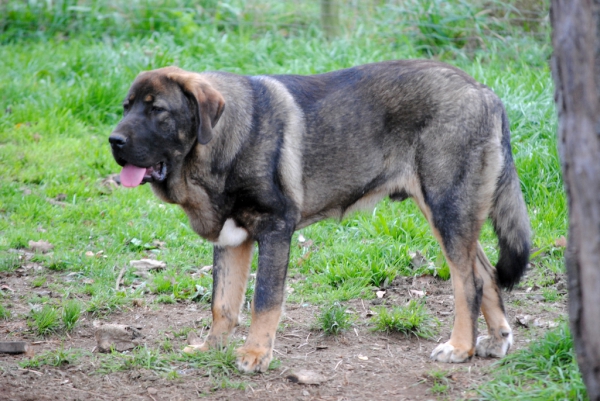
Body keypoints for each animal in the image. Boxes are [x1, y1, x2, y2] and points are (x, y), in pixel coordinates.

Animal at [109, 59, 528, 372]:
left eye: (157, 110)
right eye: (127, 107)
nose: (114, 141)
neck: (221, 146)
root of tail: (484, 92)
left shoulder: (275, 229)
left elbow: (264, 300)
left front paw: (256, 354)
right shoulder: (233, 238)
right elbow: (223, 304)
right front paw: (213, 349)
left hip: (446, 206)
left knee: (468, 282)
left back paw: (460, 347)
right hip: (450, 213)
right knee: (485, 272)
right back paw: (495, 340)